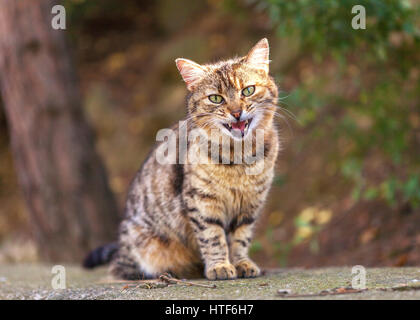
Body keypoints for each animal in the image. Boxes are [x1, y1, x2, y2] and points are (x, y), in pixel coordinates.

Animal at [83, 38, 278, 280]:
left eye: (248, 90)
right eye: (216, 98)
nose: (236, 113)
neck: (239, 156)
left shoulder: (250, 204)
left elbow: (240, 238)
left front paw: (242, 263)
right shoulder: (202, 201)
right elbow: (213, 237)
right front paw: (219, 266)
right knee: (120, 269)